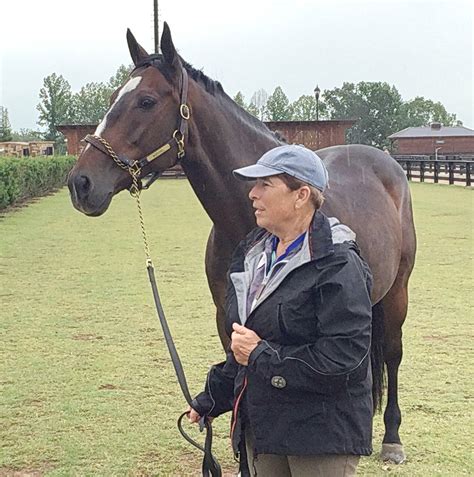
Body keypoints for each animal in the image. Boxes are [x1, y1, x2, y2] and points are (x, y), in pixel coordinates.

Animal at [66, 23, 414, 464]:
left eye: (146, 101)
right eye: (112, 98)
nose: (81, 183)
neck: (249, 223)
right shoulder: (227, 319)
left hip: (398, 290)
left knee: (392, 354)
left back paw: (392, 438)